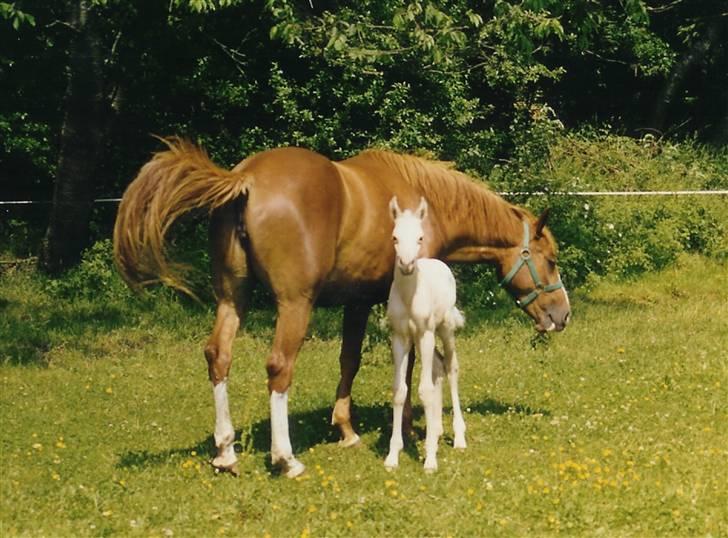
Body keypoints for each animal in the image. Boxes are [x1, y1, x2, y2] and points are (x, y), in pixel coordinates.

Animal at [386, 196, 466, 468]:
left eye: (420, 237)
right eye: (395, 237)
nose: (407, 265)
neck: (409, 296)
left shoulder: (425, 334)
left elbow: (424, 390)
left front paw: (430, 458)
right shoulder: (400, 337)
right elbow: (400, 391)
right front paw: (392, 456)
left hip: (444, 329)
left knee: (451, 368)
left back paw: (459, 436)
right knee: (439, 368)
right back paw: (438, 429)